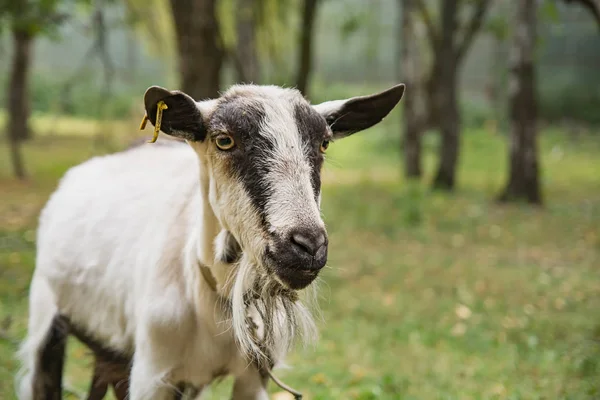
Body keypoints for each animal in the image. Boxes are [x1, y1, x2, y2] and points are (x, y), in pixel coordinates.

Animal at [17, 83, 404, 398]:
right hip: (45, 317)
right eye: (224, 140)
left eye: (323, 143)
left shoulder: (254, 377)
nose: (307, 246)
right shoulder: (151, 374)